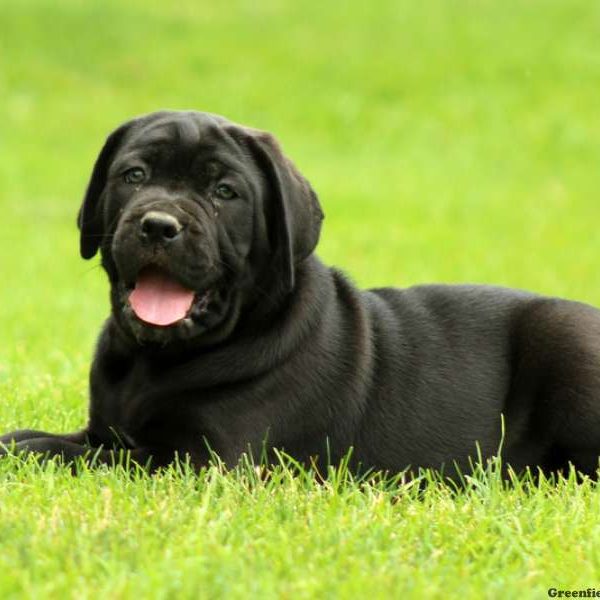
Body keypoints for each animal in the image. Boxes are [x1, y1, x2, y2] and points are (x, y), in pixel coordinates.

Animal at [1, 112, 600, 478]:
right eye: (134, 175)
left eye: (225, 192)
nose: (158, 225)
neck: (153, 360)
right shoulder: (106, 426)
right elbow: (65, 438)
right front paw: (19, 437)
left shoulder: (205, 460)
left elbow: (100, 457)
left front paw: (32, 451)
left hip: (566, 340)